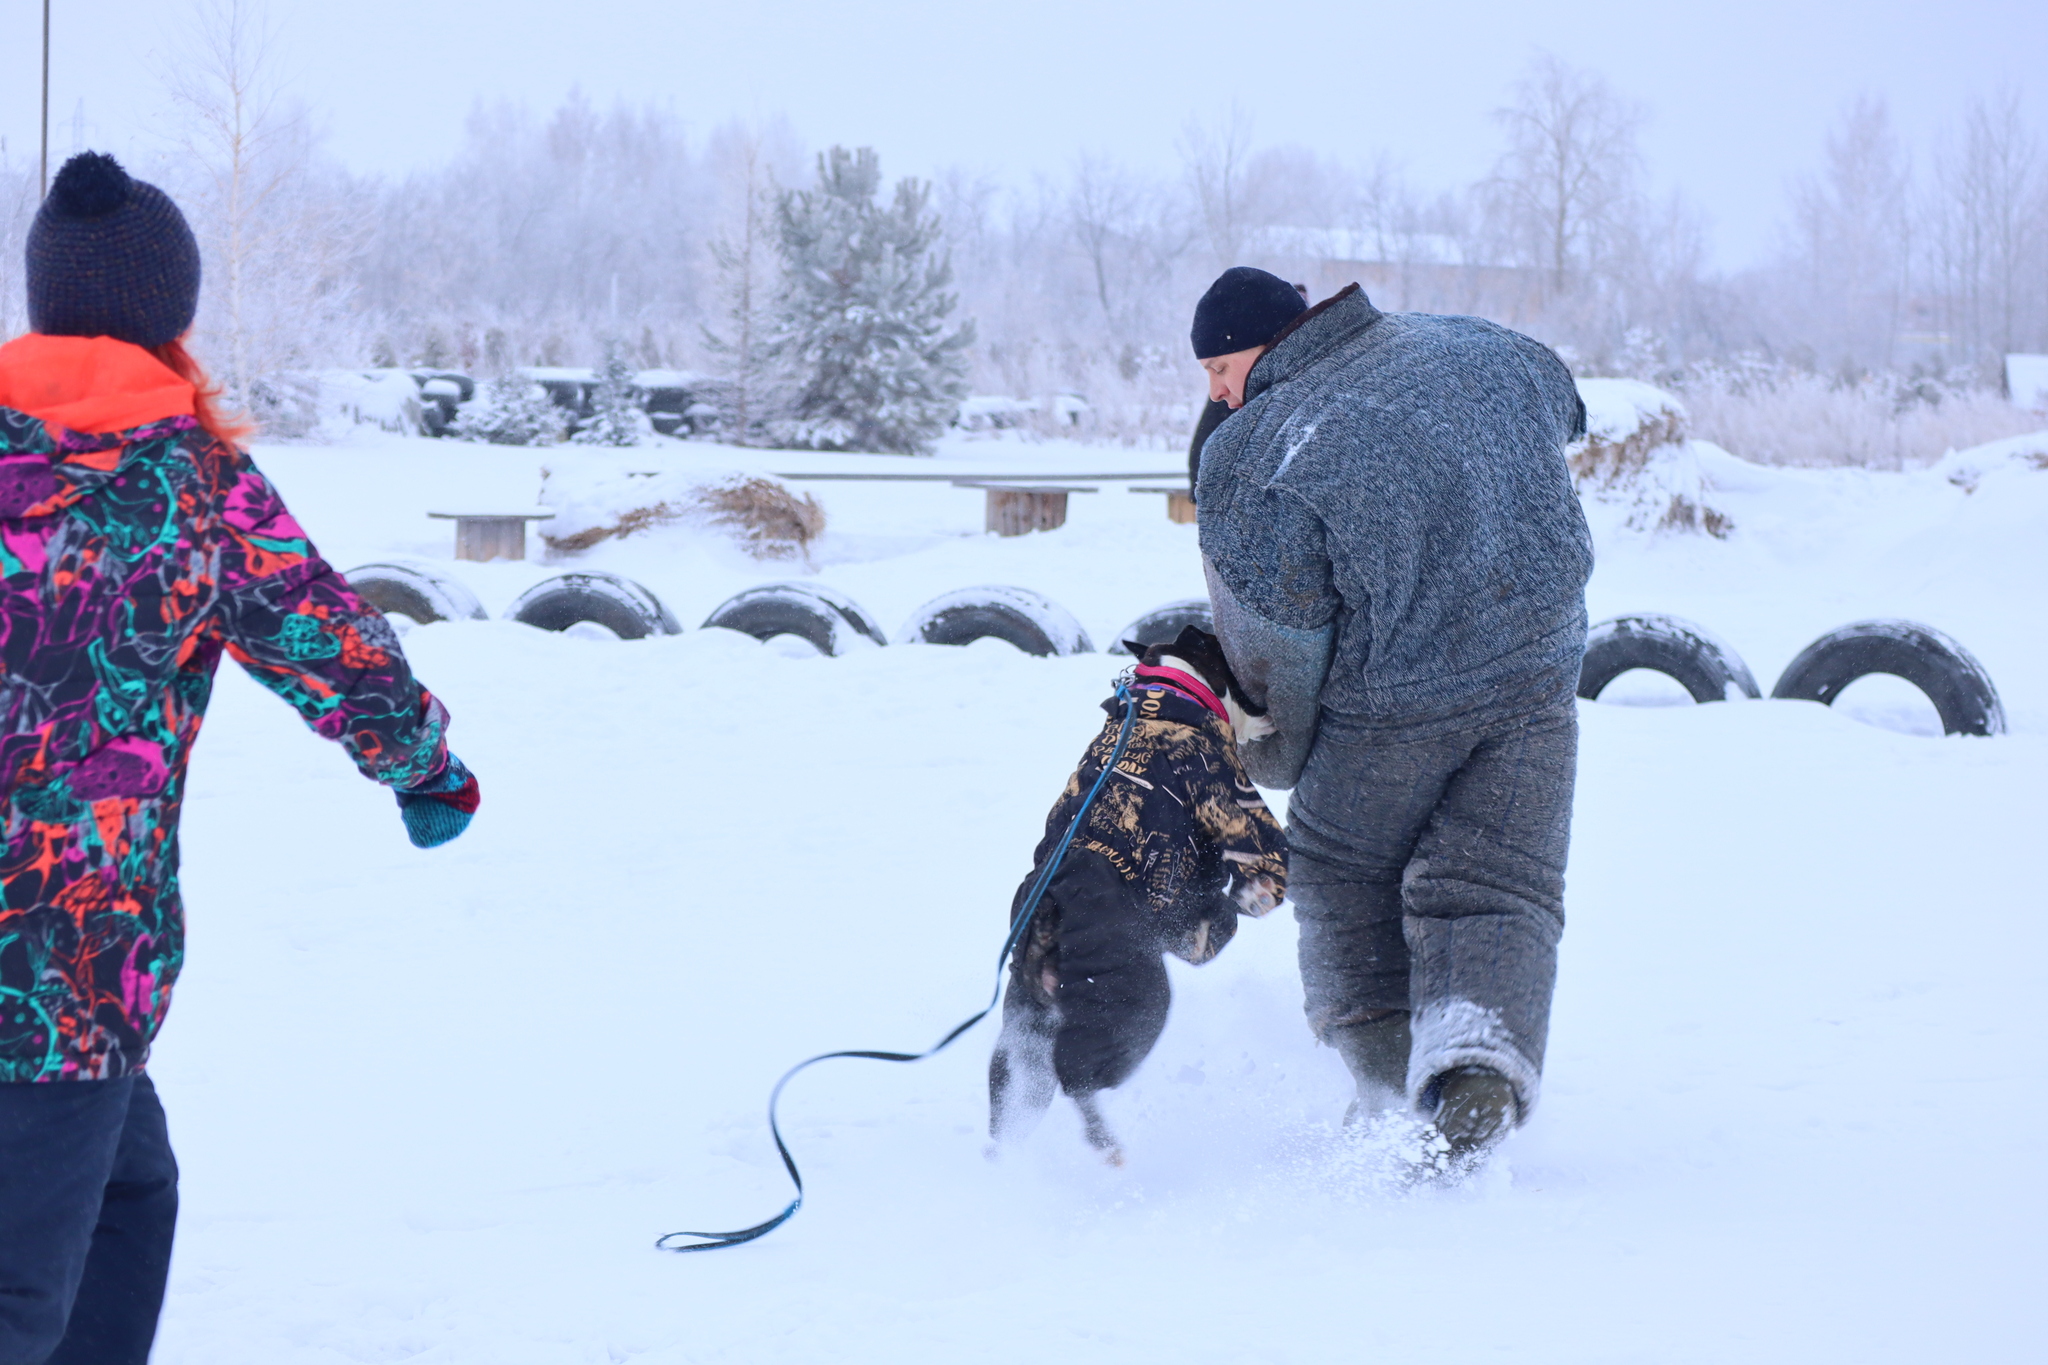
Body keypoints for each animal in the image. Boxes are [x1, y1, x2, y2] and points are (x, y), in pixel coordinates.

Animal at [987, 626, 1277, 1162]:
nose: (1269, 706)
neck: (1174, 688)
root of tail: (1049, 910)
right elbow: (1225, 906)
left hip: (1023, 1033)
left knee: (1015, 1097)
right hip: (1134, 1003)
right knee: (1080, 1080)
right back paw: (1109, 1148)